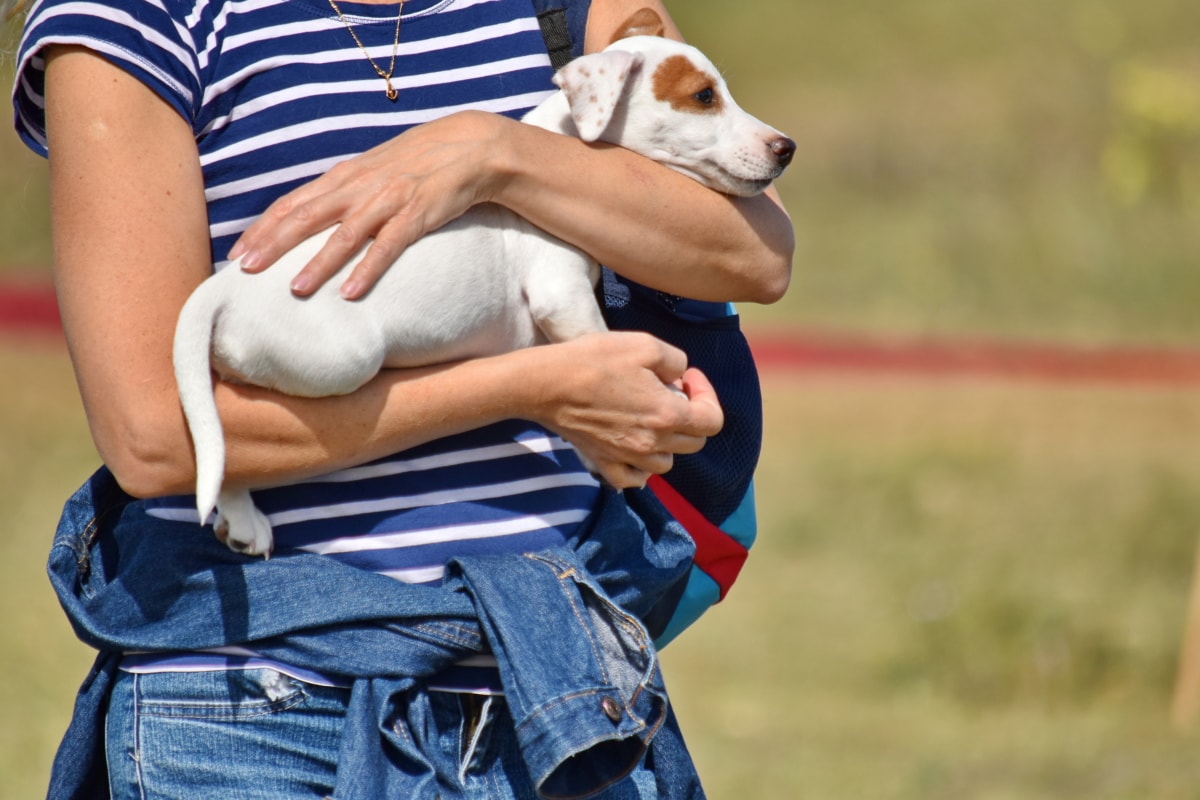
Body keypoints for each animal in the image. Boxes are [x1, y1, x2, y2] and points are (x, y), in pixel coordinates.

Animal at [174, 29, 792, 556]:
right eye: (703, 96)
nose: (785, 147)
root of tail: (227, 282)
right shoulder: (561, 295)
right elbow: (602, 349)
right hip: (341, 359)